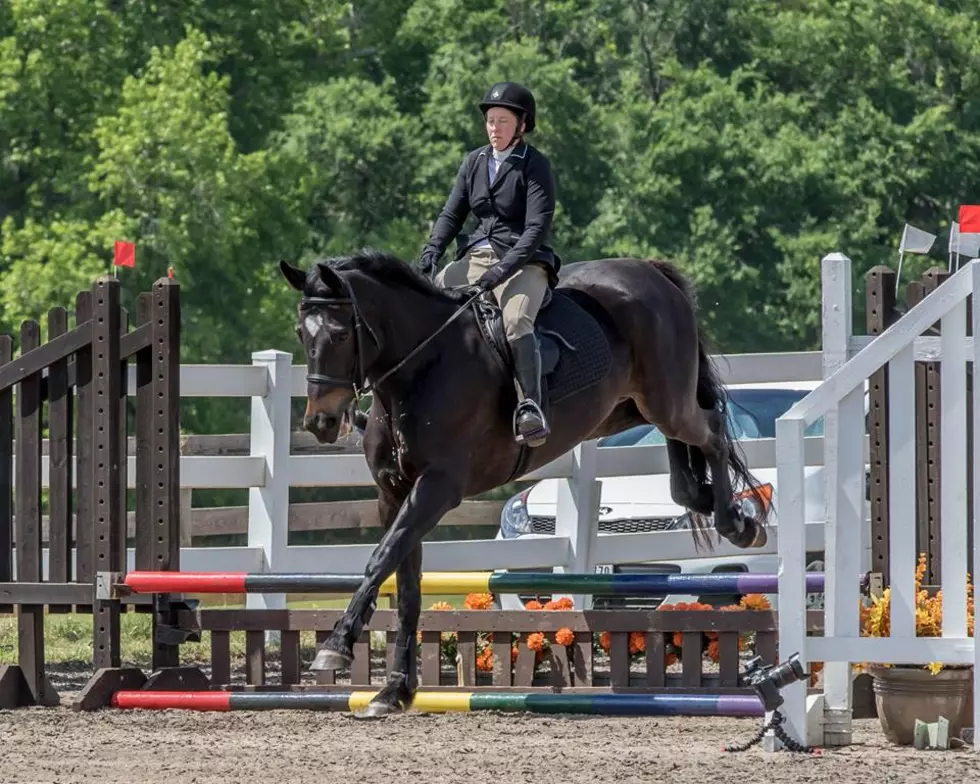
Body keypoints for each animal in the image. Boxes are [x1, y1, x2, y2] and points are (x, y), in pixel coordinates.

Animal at [278, 250, 772, 716]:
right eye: (302, 334)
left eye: (342, 335)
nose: (321, 422)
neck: (421, 369)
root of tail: (648, 270)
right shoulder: (393, 494)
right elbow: (405, 586)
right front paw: (394, 692)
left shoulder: (437, 487)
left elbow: (380, 561)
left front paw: (336, 648)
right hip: (630, 406)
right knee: (682, 445)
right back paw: (700, 496)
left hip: (664, 399)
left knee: (710, 428)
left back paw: (738, 522)